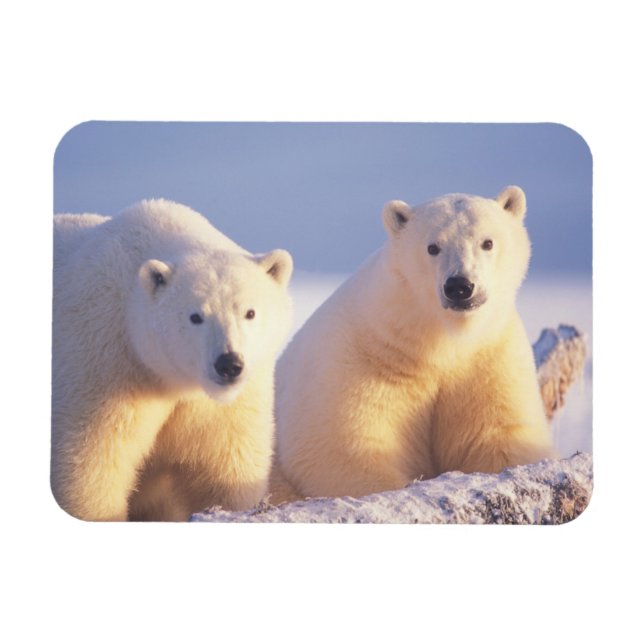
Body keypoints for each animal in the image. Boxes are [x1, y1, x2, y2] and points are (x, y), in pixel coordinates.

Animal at [51, 199, 293, 521]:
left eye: (250, 312)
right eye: (195, 316)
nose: (228, 364)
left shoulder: (221, 404)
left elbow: (225, 462)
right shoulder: (103, 364)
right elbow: (91, 465)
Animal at [272, 186, 556, 502]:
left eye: (487, 242)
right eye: (432, 247)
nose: (459, 286)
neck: (437, 342)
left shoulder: (488, 357)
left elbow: (501, 434)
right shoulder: (361, 359)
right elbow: (344, 449)